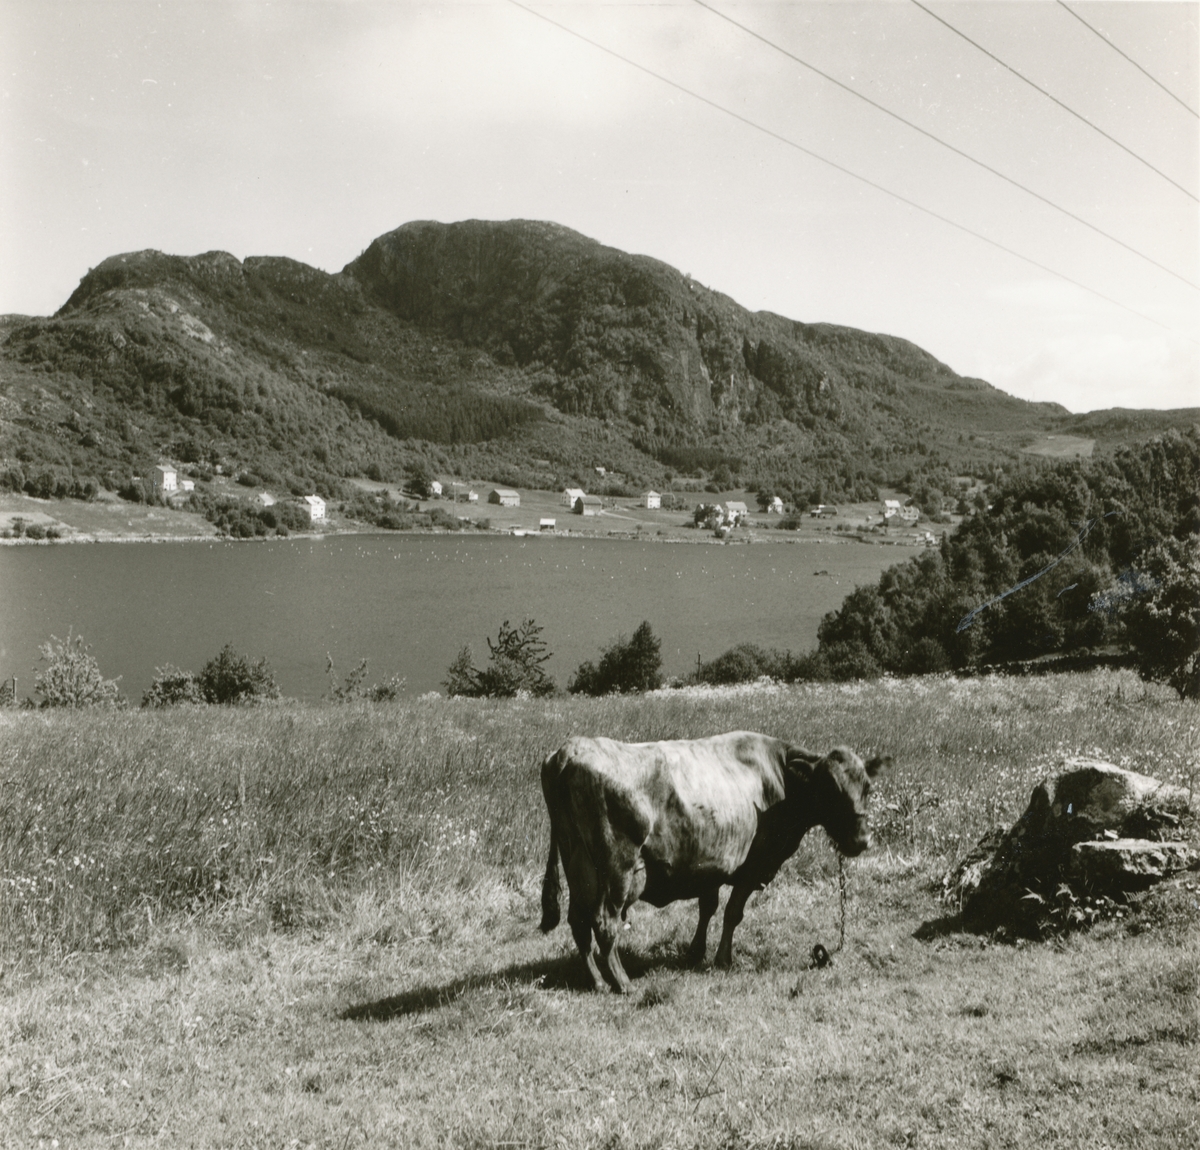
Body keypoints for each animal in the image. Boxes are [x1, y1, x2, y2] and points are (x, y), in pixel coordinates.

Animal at [540, 734, 888, 993]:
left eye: (868, 788)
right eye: (830, 790)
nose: (861, 840)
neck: (778, 780)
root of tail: (567, 751)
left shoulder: (710, 866)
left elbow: (707, 907)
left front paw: (695, 953)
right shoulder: (751, 867)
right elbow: (732, 913)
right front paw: (722, 959)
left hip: (579, 868)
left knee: (578, 923)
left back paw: (598, 981)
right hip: (617, 871)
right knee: (604, 924)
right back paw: (623, 982)